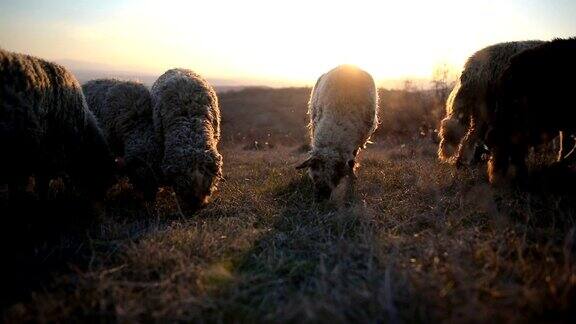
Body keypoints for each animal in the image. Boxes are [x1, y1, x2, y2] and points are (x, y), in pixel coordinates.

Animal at [296, 64, 378, 200]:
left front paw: (352, 178)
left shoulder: (355, 143)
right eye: (315, 175)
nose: (321, 197)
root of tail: (345, 66)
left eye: (335, 175)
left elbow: (351, 162)